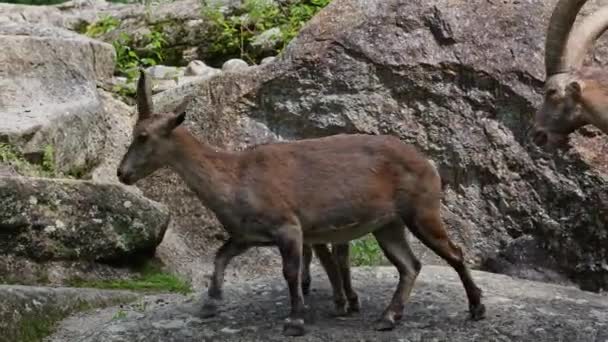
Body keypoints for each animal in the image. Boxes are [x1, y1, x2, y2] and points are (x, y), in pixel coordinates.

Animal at [117, 70, 484, 336]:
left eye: (143, 136)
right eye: (133, 132)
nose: (122, 173)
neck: (235, 179)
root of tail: (430, 165)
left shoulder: (288, 227)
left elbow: (290, 272)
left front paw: (295, 320)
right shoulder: (248, 235)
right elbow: (220, 256)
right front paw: (210, 304)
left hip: (421, 211)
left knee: (453, 253)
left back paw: (476, 308)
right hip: (388, 224)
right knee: (410, 265)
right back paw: (387, 318)